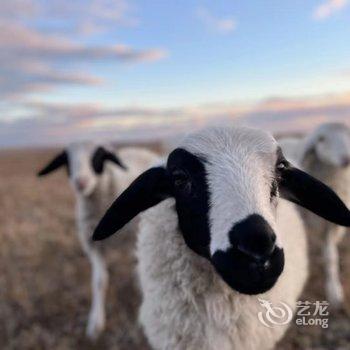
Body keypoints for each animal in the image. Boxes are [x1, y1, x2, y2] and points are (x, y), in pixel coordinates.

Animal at [37, 142, 158, 340]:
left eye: (98, 156)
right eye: (67, 159)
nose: (81, 182)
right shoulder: (91, 245)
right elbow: (99, 281)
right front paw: (96, 323)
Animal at [280, 123, 350, 308]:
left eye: (348, 135)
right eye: (321, 139)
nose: (346, 159)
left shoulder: (330, 226)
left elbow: (330, 258)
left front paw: (334, 291)